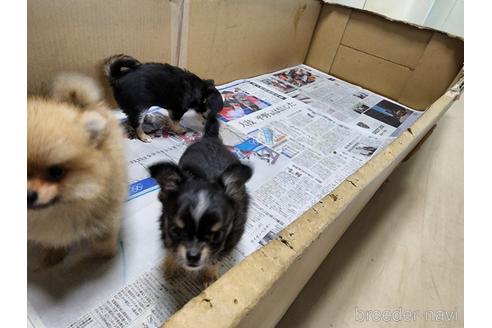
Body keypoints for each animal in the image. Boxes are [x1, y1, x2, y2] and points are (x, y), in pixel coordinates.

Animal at [27, 72, 128, 266]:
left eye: (56, 172)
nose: (29, 195)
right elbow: (53, 241)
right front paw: (54, 254)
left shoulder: (106, 214)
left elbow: (104, 237)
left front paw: (106, 255)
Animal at [148, 115, 252, 288]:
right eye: (176, 231)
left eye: (216, 236)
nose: (193, 255)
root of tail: (211, 138)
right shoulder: (165, 227)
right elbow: (171, 248)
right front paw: (171, 266)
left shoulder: (230, 238)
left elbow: (215, 258)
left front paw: (209, 276)